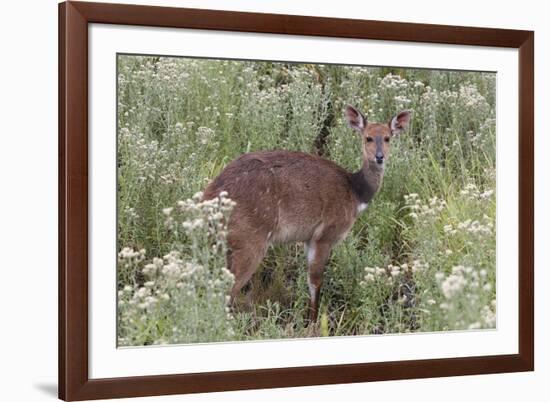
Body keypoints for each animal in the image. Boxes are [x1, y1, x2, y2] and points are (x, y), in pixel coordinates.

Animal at [203, 105, 410, 322]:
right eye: (368, 137)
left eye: (387, 138)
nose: (379, 157)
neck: (355, 192)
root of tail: (209, 197)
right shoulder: (324, 236)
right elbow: (316, 281)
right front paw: (313, 322)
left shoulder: (308, 239)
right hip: (250, 243)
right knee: (228, 290)